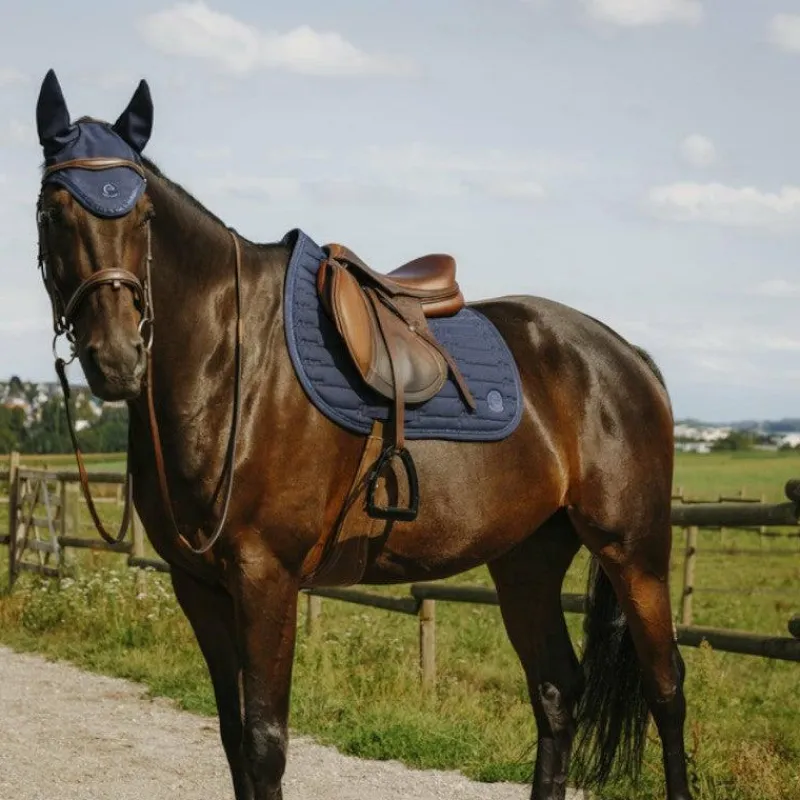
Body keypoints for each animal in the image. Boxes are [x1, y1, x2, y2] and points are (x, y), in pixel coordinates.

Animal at [32, 69, 692, 800]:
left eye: (144, 217)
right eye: (53, 212)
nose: (118, 357)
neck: (231, 364)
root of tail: (626, 358)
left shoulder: (266, 578)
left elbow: (263, 744)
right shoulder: (199, 587)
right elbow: (232, 739)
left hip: (634, 552)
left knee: (666, 690)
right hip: (528, 559)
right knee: (556, 691)